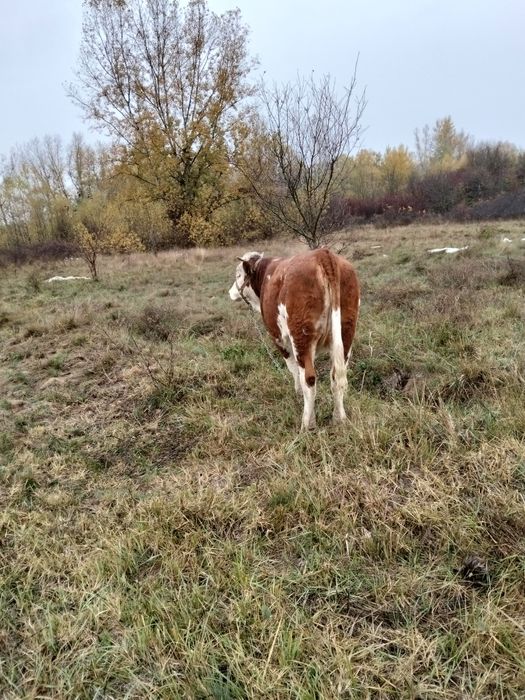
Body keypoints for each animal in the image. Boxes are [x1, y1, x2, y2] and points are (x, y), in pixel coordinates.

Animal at [229, 248, 360, 430]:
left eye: (238, 274)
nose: (230, 292)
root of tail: (323, 254)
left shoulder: (279, 339)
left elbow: (293, 369)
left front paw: (297, 394)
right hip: (346, 331)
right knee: (336, 377)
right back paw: (339, 419)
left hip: (300, 336)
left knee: (309, 380)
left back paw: (307, 424)